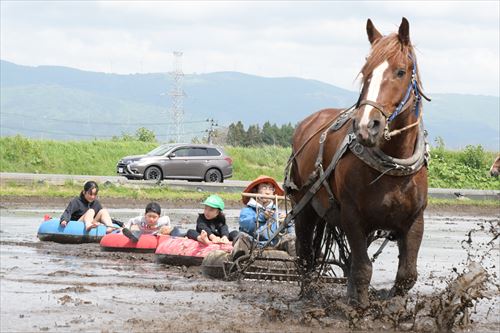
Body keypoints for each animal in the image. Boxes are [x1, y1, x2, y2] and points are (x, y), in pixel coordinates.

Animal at [290, 16, 430, 304]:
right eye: (366, 72)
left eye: (400, 71)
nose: (367, 126)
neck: (392, 165)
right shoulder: (353, 217)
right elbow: (363, 269)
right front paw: (360, 309)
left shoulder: (414, 220)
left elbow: (406, 275)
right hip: (305, 206)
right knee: (306, 253)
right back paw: (308, 294)